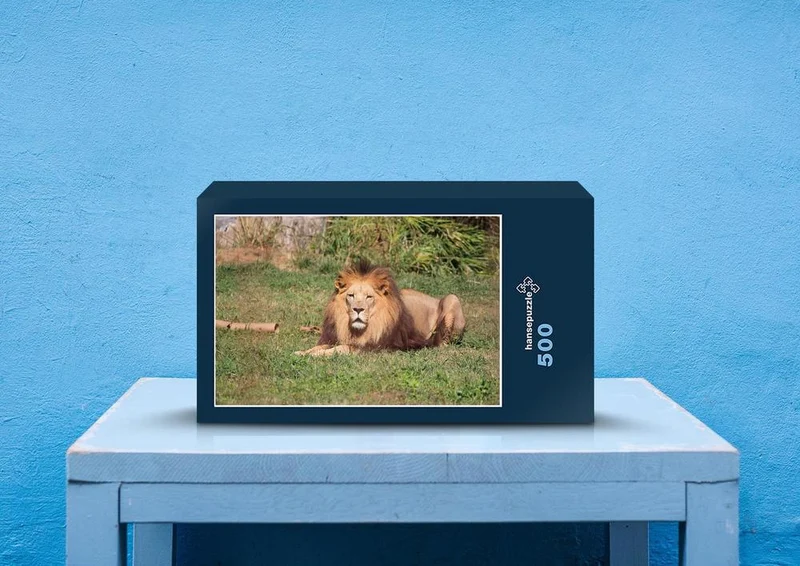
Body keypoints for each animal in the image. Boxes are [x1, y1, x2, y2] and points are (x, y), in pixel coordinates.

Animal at [294, 260, 466, 356]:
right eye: (351, 295)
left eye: (369, 297)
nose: (358, 309)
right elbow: (319, 346)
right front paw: (302, 352)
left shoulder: (376, 347)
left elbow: (341, 348)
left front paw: (315, 355)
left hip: (452, 299)